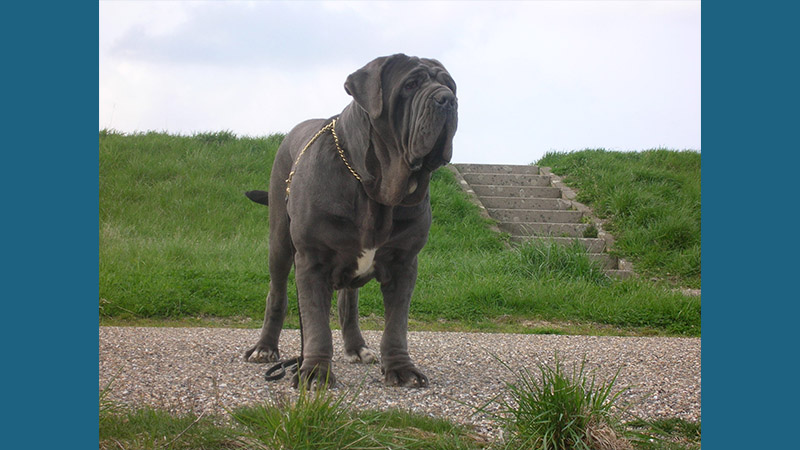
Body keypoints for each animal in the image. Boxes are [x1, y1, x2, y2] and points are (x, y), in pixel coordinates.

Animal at [242, 54, 456, 388]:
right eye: (410, 85)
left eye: (450, 85)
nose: (447, 99)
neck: (375, 190)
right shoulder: (312, 260)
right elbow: (316, 326)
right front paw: (314, 372)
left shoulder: (404, 263)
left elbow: (396, 325)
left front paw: (401, 368)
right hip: (279, 242)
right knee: (276, 293)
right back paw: (264, 348)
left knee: (348, 302)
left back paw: (356, 347)